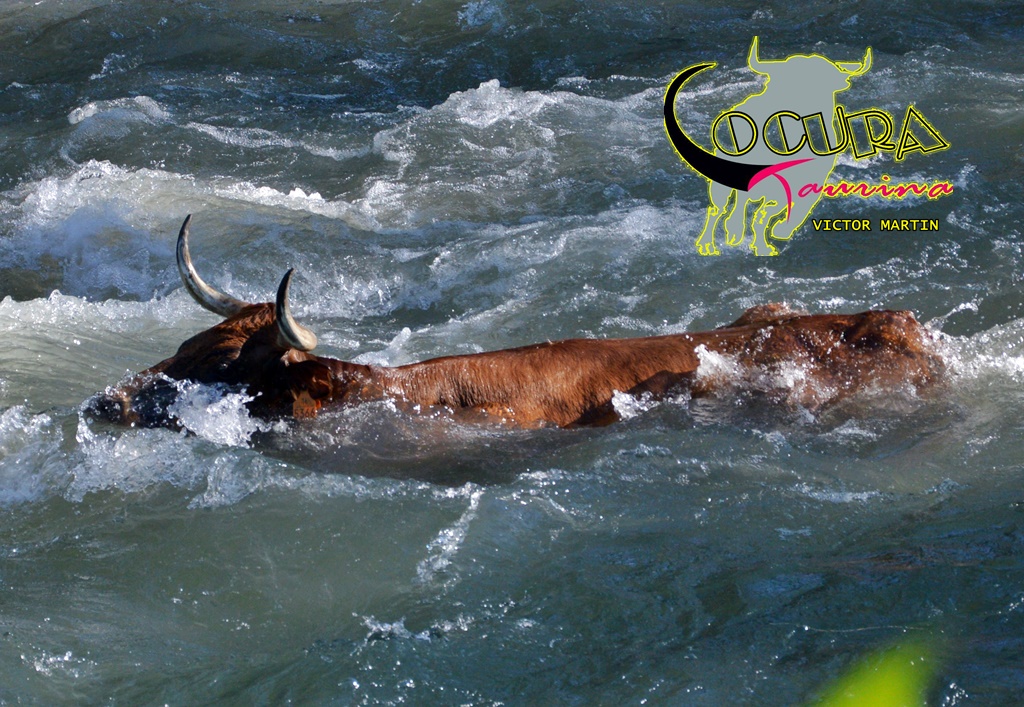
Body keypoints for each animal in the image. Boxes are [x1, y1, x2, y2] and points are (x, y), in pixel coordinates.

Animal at [665, 37, 872, 256]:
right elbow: (760, 215)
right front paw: (762, 245)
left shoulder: (810, 182)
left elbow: (788, 211)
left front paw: (778, 233)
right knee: (718, 209)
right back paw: (709, 244)